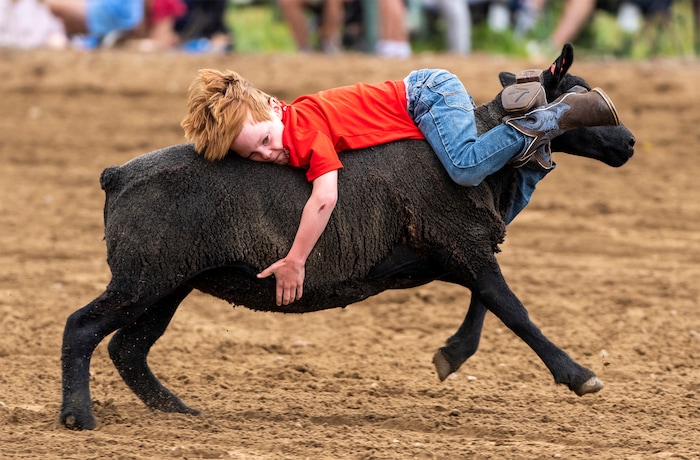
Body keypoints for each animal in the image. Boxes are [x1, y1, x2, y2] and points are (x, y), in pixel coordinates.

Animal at [63, 45, 636, 430]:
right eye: (578, 86)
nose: (629, 143)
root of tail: (116, 175)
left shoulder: (456, 250)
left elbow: (487, 303)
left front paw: (450, 356)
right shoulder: (460, 242)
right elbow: (513, 309)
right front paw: (578, 376)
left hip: (169, 281)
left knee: (129, 349)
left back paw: (178, 410)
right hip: (144, 276)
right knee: (83, 327)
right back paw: (78, 416)